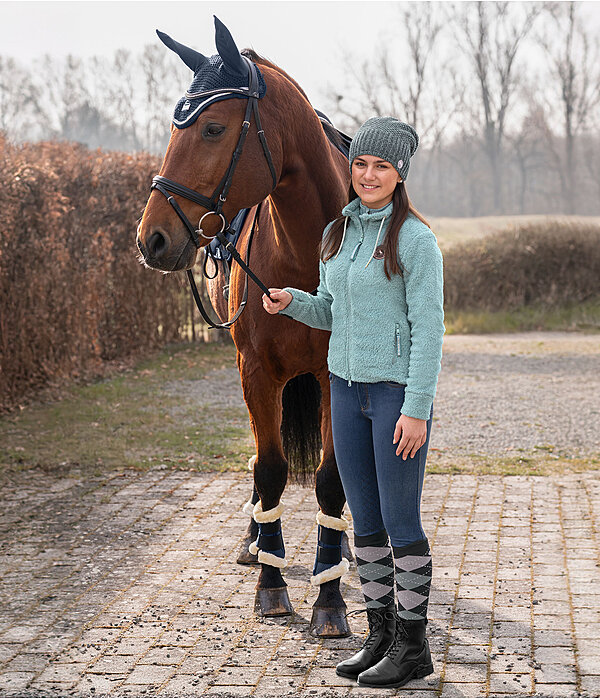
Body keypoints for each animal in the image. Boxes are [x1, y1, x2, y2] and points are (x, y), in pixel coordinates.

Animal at [135, 17, 352, 640]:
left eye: (212, 128)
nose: (151, 237)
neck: (304, 255)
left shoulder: (335, 378)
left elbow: (331, 478)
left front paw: (330, 597)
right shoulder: (256, 372)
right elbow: (271, 468)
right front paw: (272, 585)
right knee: (261, 461)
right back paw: (257, 540)